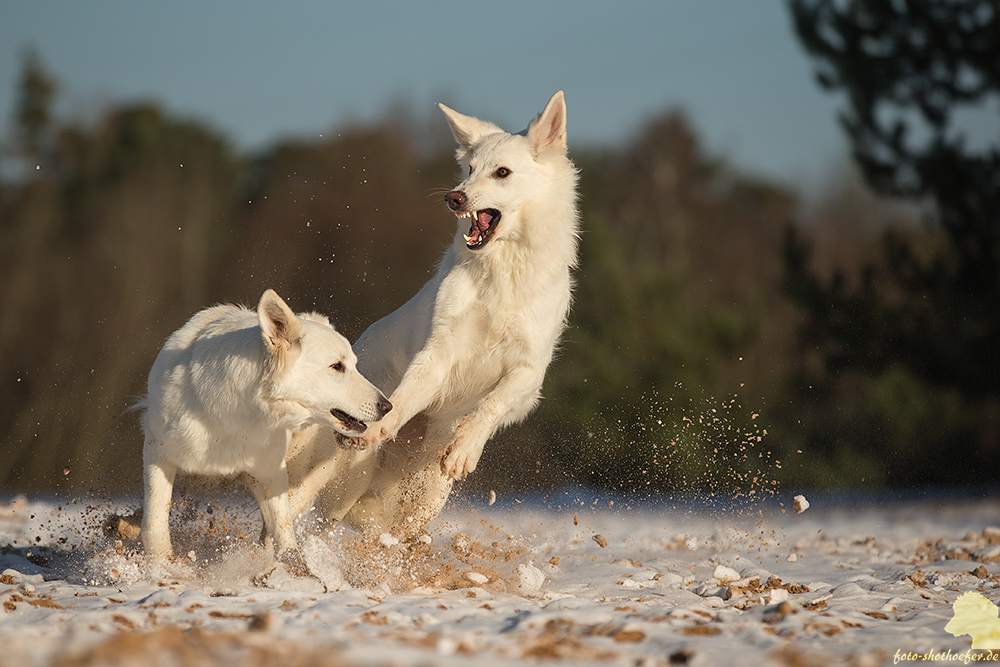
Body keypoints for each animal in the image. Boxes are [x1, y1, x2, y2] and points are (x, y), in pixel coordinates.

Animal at [141, 290, 390, 568]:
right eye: (337, 366)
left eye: (354, 365)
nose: (387, 406)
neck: (238, 415)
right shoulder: (157, 450)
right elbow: (155, 520)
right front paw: (162, 566)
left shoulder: (270, 474)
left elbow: (283, 535)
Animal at [284, 90, 580, 536]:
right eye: (469, 169)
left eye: (502, 172)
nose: (453, 197)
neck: (502, 271)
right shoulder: (438, 354)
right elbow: (404, 397)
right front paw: (382, 425)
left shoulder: (528, 373)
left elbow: (490, 405)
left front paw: (464, 450)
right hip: (346, 479)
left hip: (426, 494)